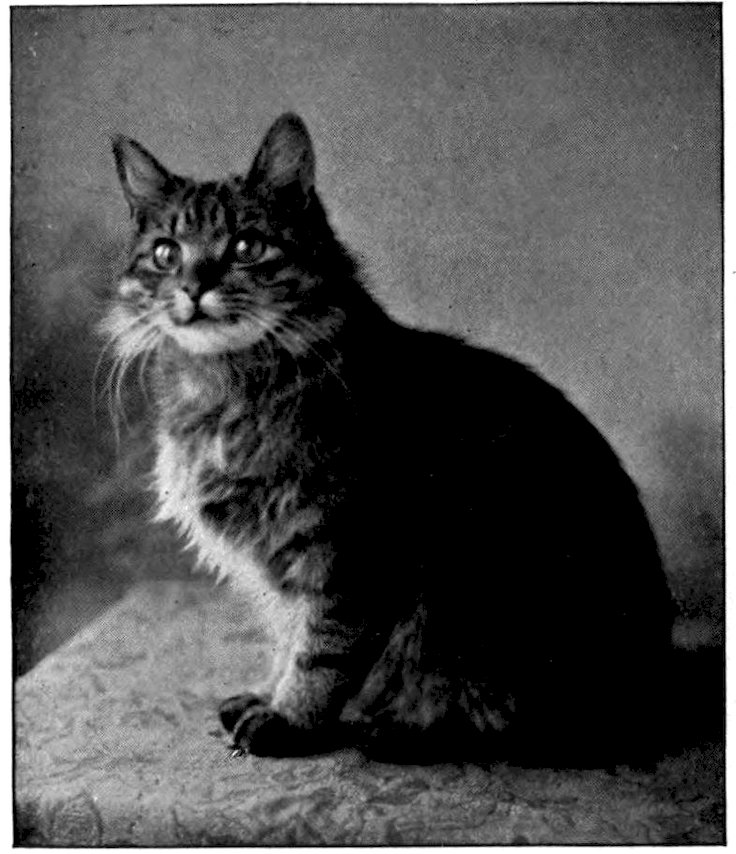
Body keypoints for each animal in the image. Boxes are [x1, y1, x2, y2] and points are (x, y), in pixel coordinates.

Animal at [103, 112, 691, 767]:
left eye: (246, 247)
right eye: (165, 253)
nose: (193, 287)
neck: (225, 392)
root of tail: (655, 685)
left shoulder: (349, 552)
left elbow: (319, 652)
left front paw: (289, 720)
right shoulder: (282, 569)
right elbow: (285, 638)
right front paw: (264, 695)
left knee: (517, 725)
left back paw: (398, 731)